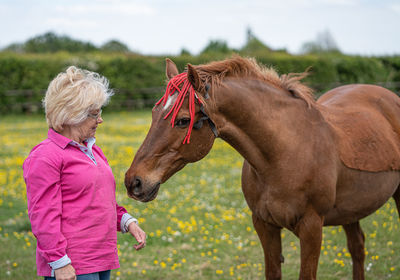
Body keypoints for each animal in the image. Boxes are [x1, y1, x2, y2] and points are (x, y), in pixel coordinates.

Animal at [125, 55, 400, 278]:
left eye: (183, 120)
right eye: (154, 113)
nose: (133, 181)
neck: (285, 153)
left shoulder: (312, 228)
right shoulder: (264, 225)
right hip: (350, 211)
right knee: (357, 248)